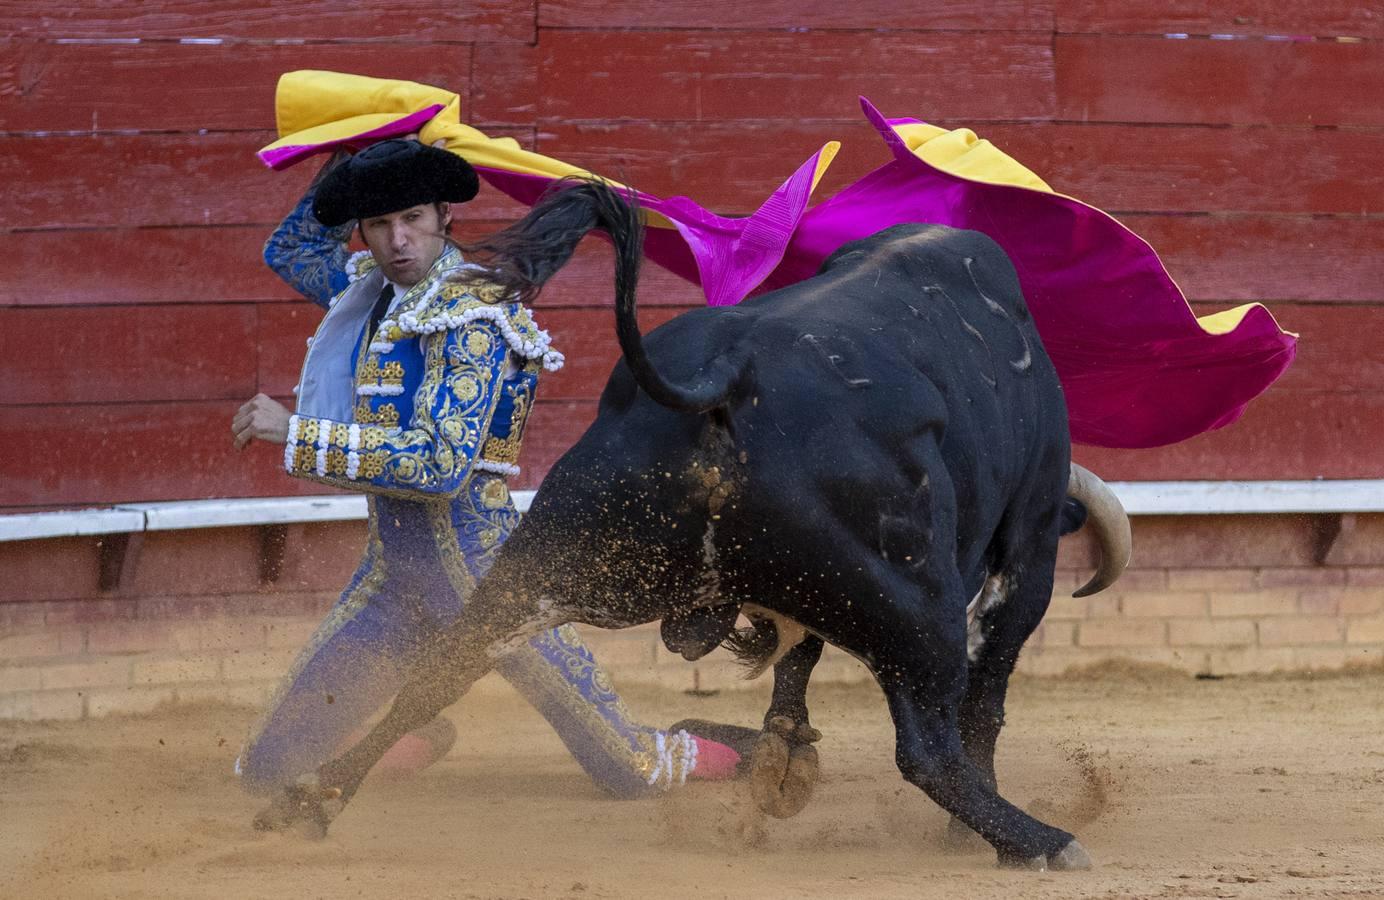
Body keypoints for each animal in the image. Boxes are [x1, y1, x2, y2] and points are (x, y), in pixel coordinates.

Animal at [272, 180, 1134, 864]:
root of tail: (725, 375)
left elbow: (798, 657)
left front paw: (784, 758)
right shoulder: (1027, 552)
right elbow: (984, 698)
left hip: (553, 554)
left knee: (441, 669)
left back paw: (308, 800)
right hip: (920, 604)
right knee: (928, 748)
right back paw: (1041, 840)